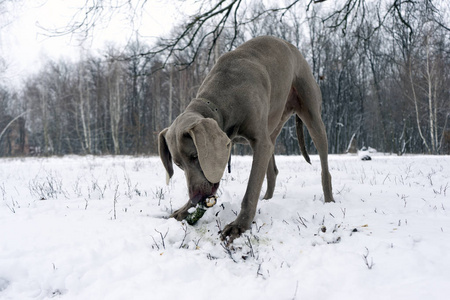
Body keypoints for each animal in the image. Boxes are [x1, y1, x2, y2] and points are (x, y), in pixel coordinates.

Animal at [160, 35, 332, 241]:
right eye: (178, 165)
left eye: (195, 156)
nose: (196, 198)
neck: (221, 98)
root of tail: (294, 49)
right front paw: (183, 210)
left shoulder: (260, 141)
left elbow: (251, 188)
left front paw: (238, 226)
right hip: (274, 123)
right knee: (272, 169)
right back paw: (267, 199)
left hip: (311, 113)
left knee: (323, 165)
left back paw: (329, 200)